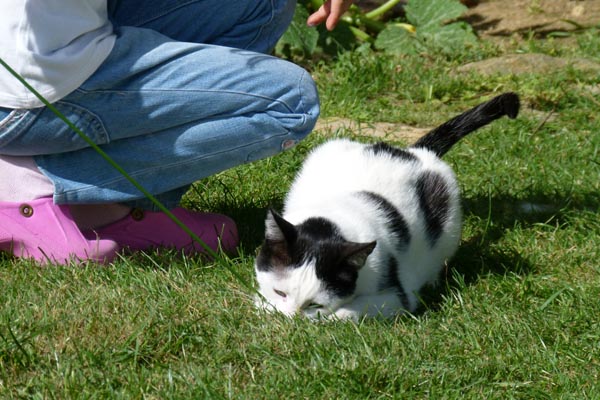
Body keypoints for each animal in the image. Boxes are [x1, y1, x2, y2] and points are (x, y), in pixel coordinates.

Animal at [254, 92, 520, 321]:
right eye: (280, 292)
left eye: (314, 304)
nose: (291, 318)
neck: (336, 213)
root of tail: (416, 152)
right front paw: (265, 306)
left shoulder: (397, 296)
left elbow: (350, 312)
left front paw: (322, 317)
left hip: (448, 228)